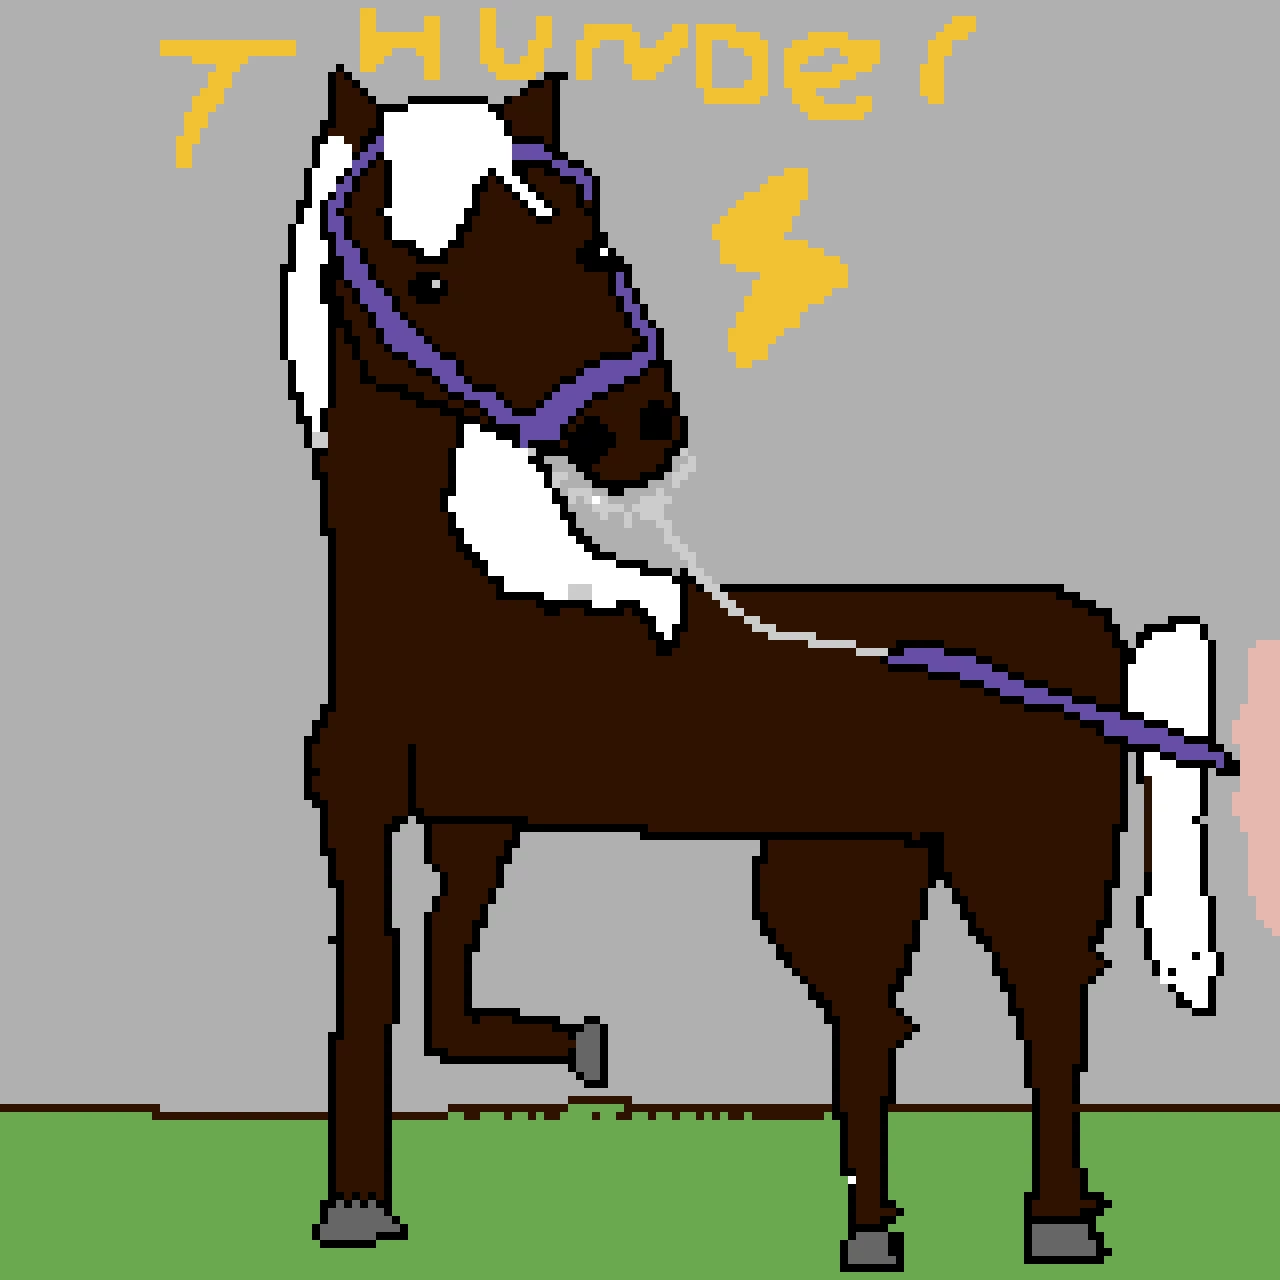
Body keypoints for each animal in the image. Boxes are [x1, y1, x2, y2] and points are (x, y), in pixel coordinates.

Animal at [281, 68, 1234, 1269]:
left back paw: (1056, 1222)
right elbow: (414, 993)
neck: (468, 605)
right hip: (845, 865)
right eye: (431, 279)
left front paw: (364, 1202)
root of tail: (1096, 642)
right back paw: (872, 1231)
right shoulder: (448, 815)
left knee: (1045, 1009)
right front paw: (552, 1064)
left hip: (1026, 862)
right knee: (874, 1020)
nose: (640, 429)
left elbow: (395, 993)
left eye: (591, 244)